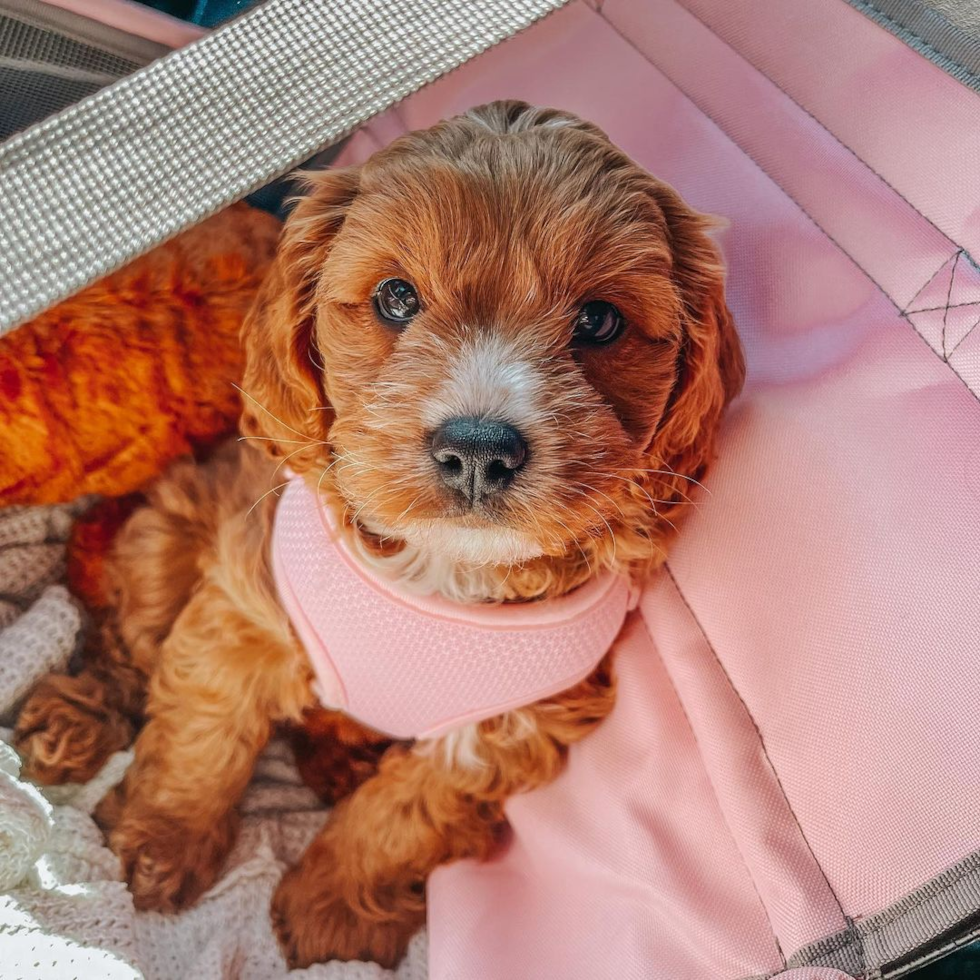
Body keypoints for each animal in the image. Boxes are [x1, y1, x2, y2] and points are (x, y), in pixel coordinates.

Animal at [13, 99, 744, 964]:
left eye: (599, 320)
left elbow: (402, 817)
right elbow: (200, 737)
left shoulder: (506, 722)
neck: (438, 571)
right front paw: (158, 839)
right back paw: (78, 719)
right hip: (172, 531)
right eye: (397, 298)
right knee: (128, 645)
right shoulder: (247, 609)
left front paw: (330, 914)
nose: (478, 450)